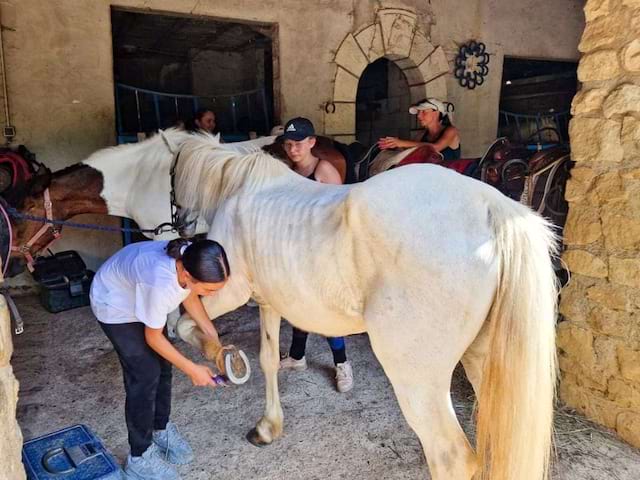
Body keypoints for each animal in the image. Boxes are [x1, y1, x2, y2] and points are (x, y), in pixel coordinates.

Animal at [170, 132, 560, 480]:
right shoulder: (270, 302)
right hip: (485, 360)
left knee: (451, 458)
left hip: (418, 378)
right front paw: (267, 427)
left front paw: (222, 356)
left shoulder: (230, 292)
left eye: (171, 179)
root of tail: (492, 207)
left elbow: (185, 325)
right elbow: (269, 361)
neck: (241, 188)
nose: (179, 232)